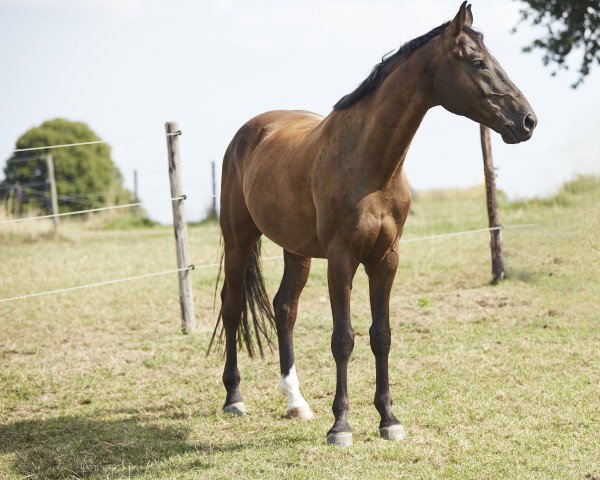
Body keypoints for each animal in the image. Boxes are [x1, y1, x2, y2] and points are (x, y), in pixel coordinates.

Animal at [210, 1, 536, 448]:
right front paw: (341, 426)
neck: (369, 163)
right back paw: (234, 398)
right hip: (239, 238)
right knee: (232, 305)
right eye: (477, 62)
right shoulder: (341, 259)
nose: (527, 121)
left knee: (285, 308)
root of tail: (248, 132)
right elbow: (343, 339)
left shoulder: (386, 258)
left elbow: (381, 336)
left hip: (296, 250)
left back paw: (296, 403)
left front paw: (388, 419)